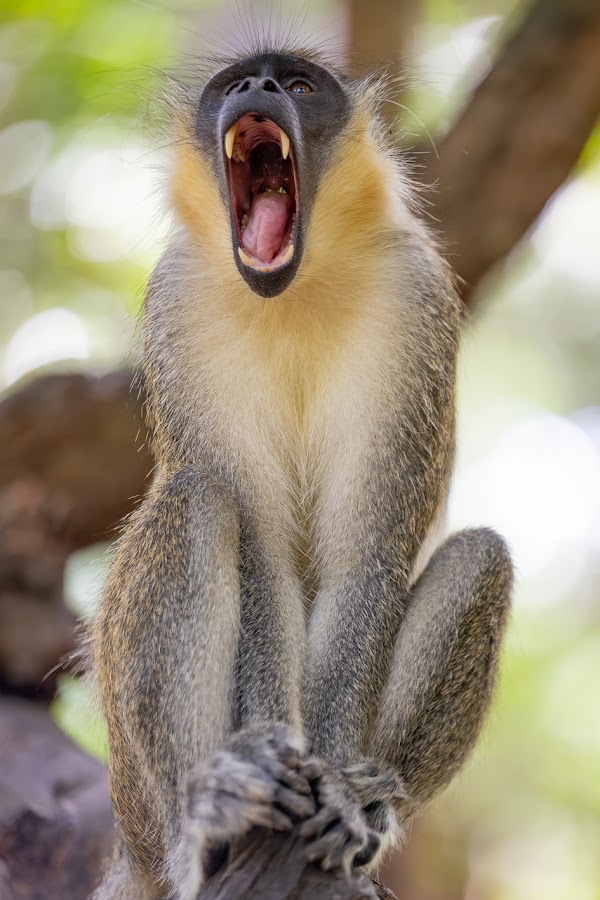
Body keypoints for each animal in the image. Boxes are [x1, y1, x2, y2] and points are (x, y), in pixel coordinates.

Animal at [91, 44, 513, 900]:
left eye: (297, 85)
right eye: (234, 85)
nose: (256, 88)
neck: (297, 290)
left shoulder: (415, 299)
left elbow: (364, 565)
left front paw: (342, 792)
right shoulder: (177, 305)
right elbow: (265, 562)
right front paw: (265, 769)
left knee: (482, 554)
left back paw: (372, 808)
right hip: (135, 797)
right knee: (195, 500)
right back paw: (206, 823)